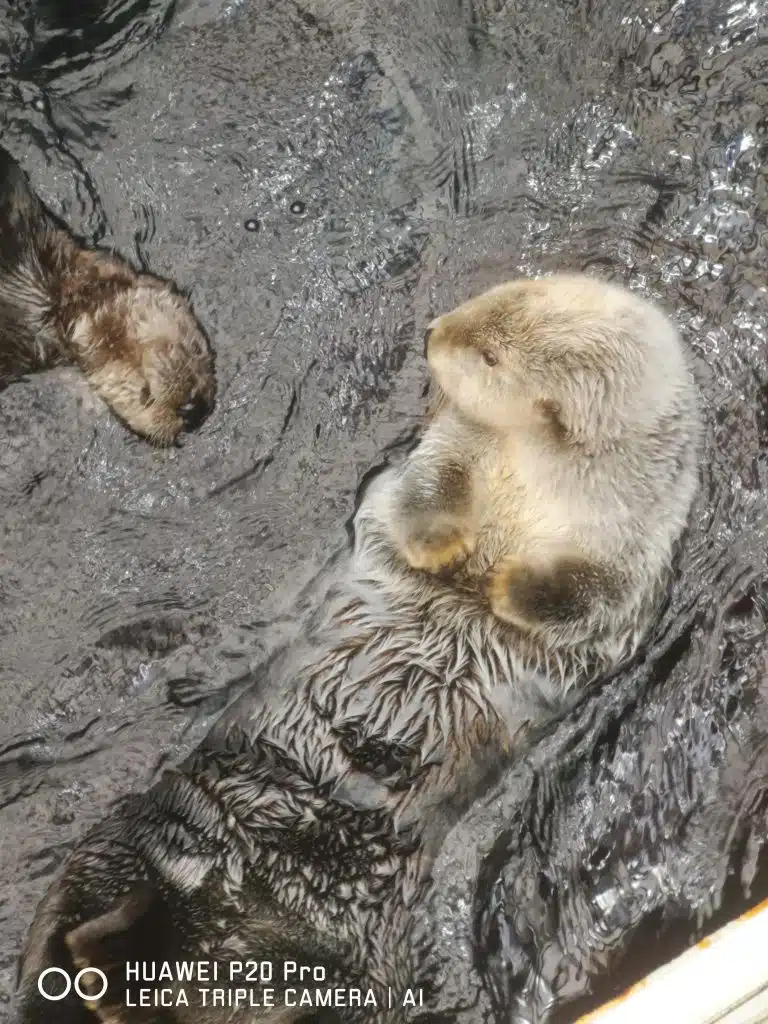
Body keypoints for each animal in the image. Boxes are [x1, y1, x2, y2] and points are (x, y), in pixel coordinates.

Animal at [12, 274, 704, 1024]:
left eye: (491, 356)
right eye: (498, 296)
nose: (434, 333)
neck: (534, 476)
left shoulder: (637, 558)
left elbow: (591, 597)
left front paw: (508, 589)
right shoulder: (444, 451)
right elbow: (422, 490)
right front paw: (442, 544)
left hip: (348, 974)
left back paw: (113, 970)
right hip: (140, 835)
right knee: (73, 924)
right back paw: (100, 959)